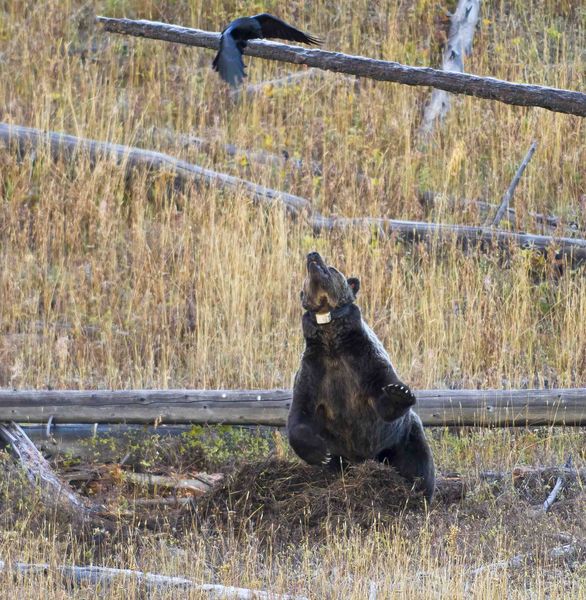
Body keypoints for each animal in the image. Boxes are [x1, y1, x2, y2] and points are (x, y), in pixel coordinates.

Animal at [288, 253, 434, 502]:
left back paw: (418, 491)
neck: (332, 343)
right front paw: (320, 453)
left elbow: (383, 396)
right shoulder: (314, 372)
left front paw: (400, 392)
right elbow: (300, 413)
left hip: (400, 440)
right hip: (343, 456)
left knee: (417, 461)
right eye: (305, 276)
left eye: (333, 268)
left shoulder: (364, 361)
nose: (313, 256)